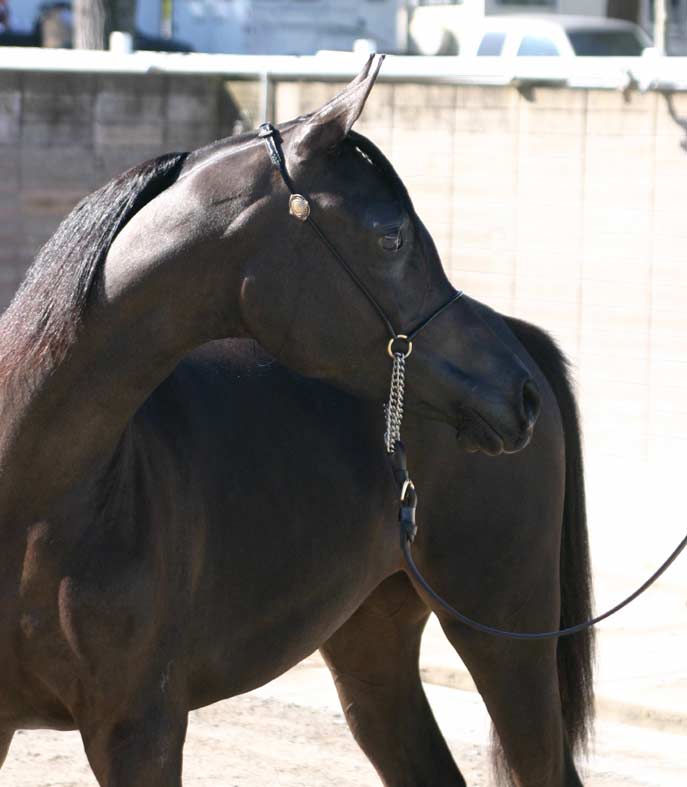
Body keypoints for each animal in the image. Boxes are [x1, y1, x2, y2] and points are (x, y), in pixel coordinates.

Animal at [0, 61, 592, 787]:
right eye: (391, 236)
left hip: (505, 640)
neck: (36, 501)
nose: (519, 394)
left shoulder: (140, 729)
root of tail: (519, 332)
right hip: (372, 647)